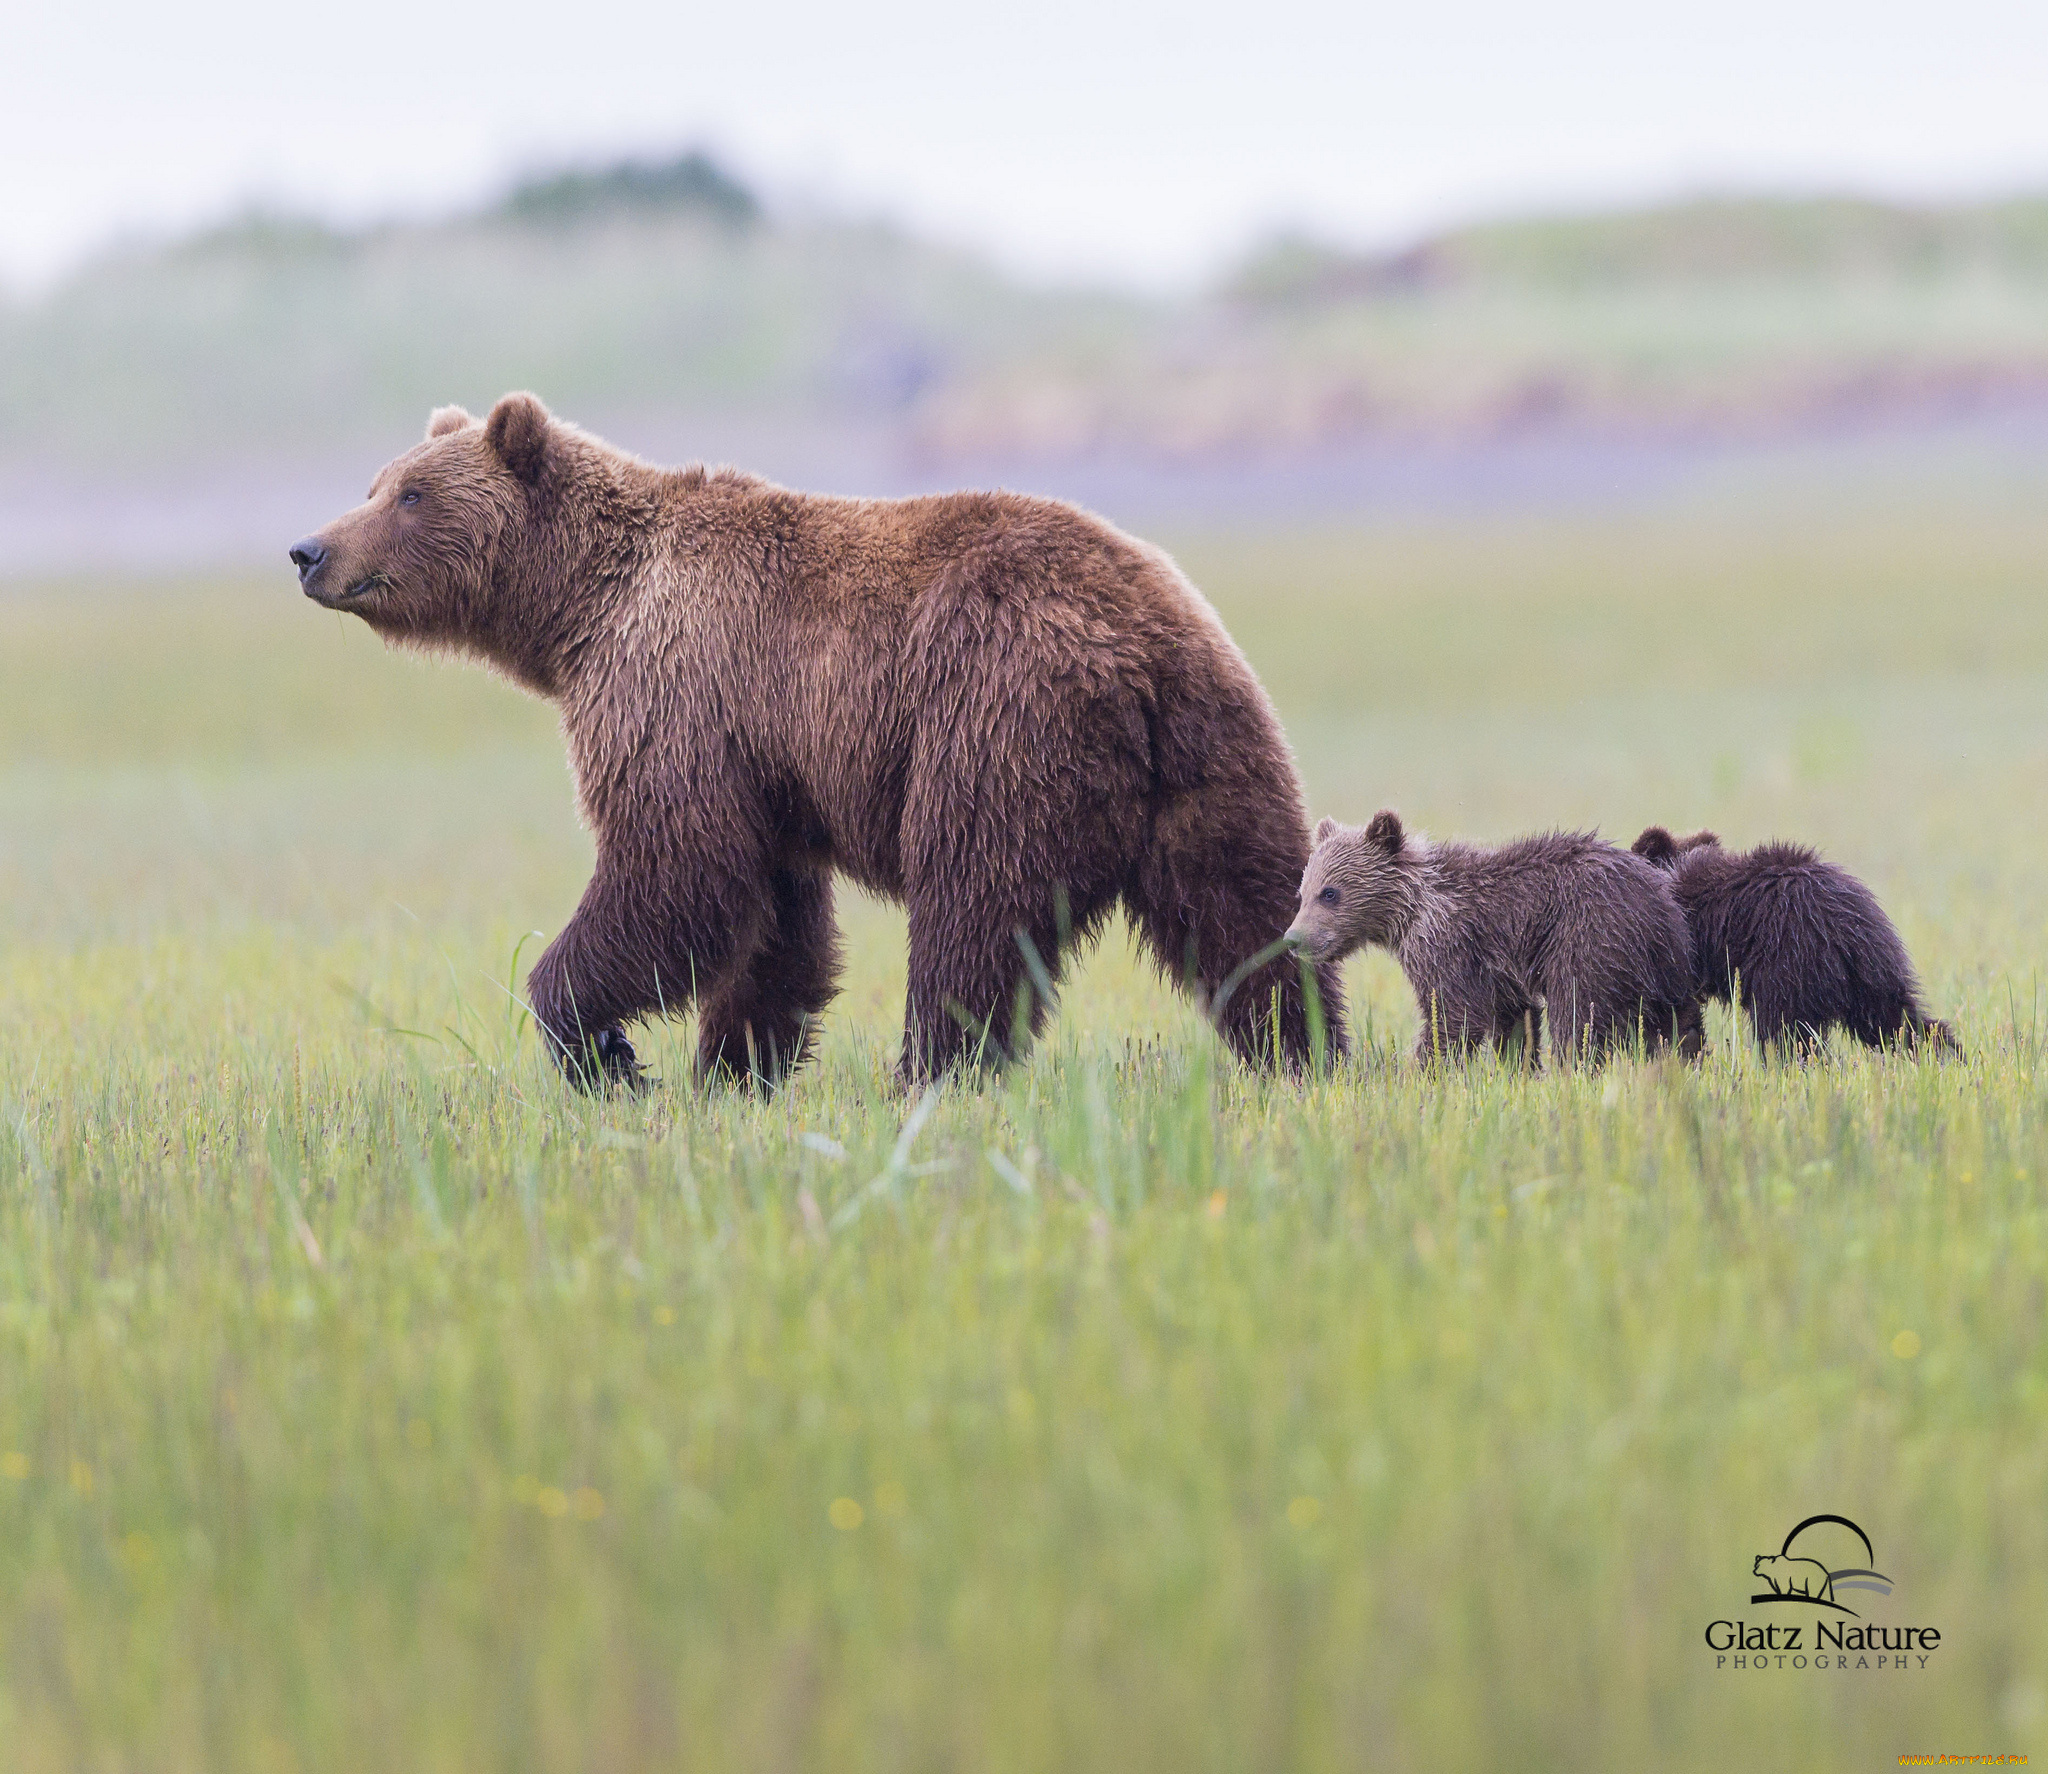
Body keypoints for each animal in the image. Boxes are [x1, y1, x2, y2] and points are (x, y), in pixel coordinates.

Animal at [292, 399, 1343, 1081]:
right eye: (378, 481)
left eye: (411, 494)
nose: (309, 549)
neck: (579, 611)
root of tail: (1136, 646)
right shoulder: (763, 756)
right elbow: (772, 918)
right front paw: (735, 1068)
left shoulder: (674, 690)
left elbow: (675, 871)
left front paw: (604, 1048)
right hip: (1213, 749)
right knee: (1249, 911)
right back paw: (1306, 1054)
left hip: (993, 719)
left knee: (972, 909)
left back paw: (931, 1071)